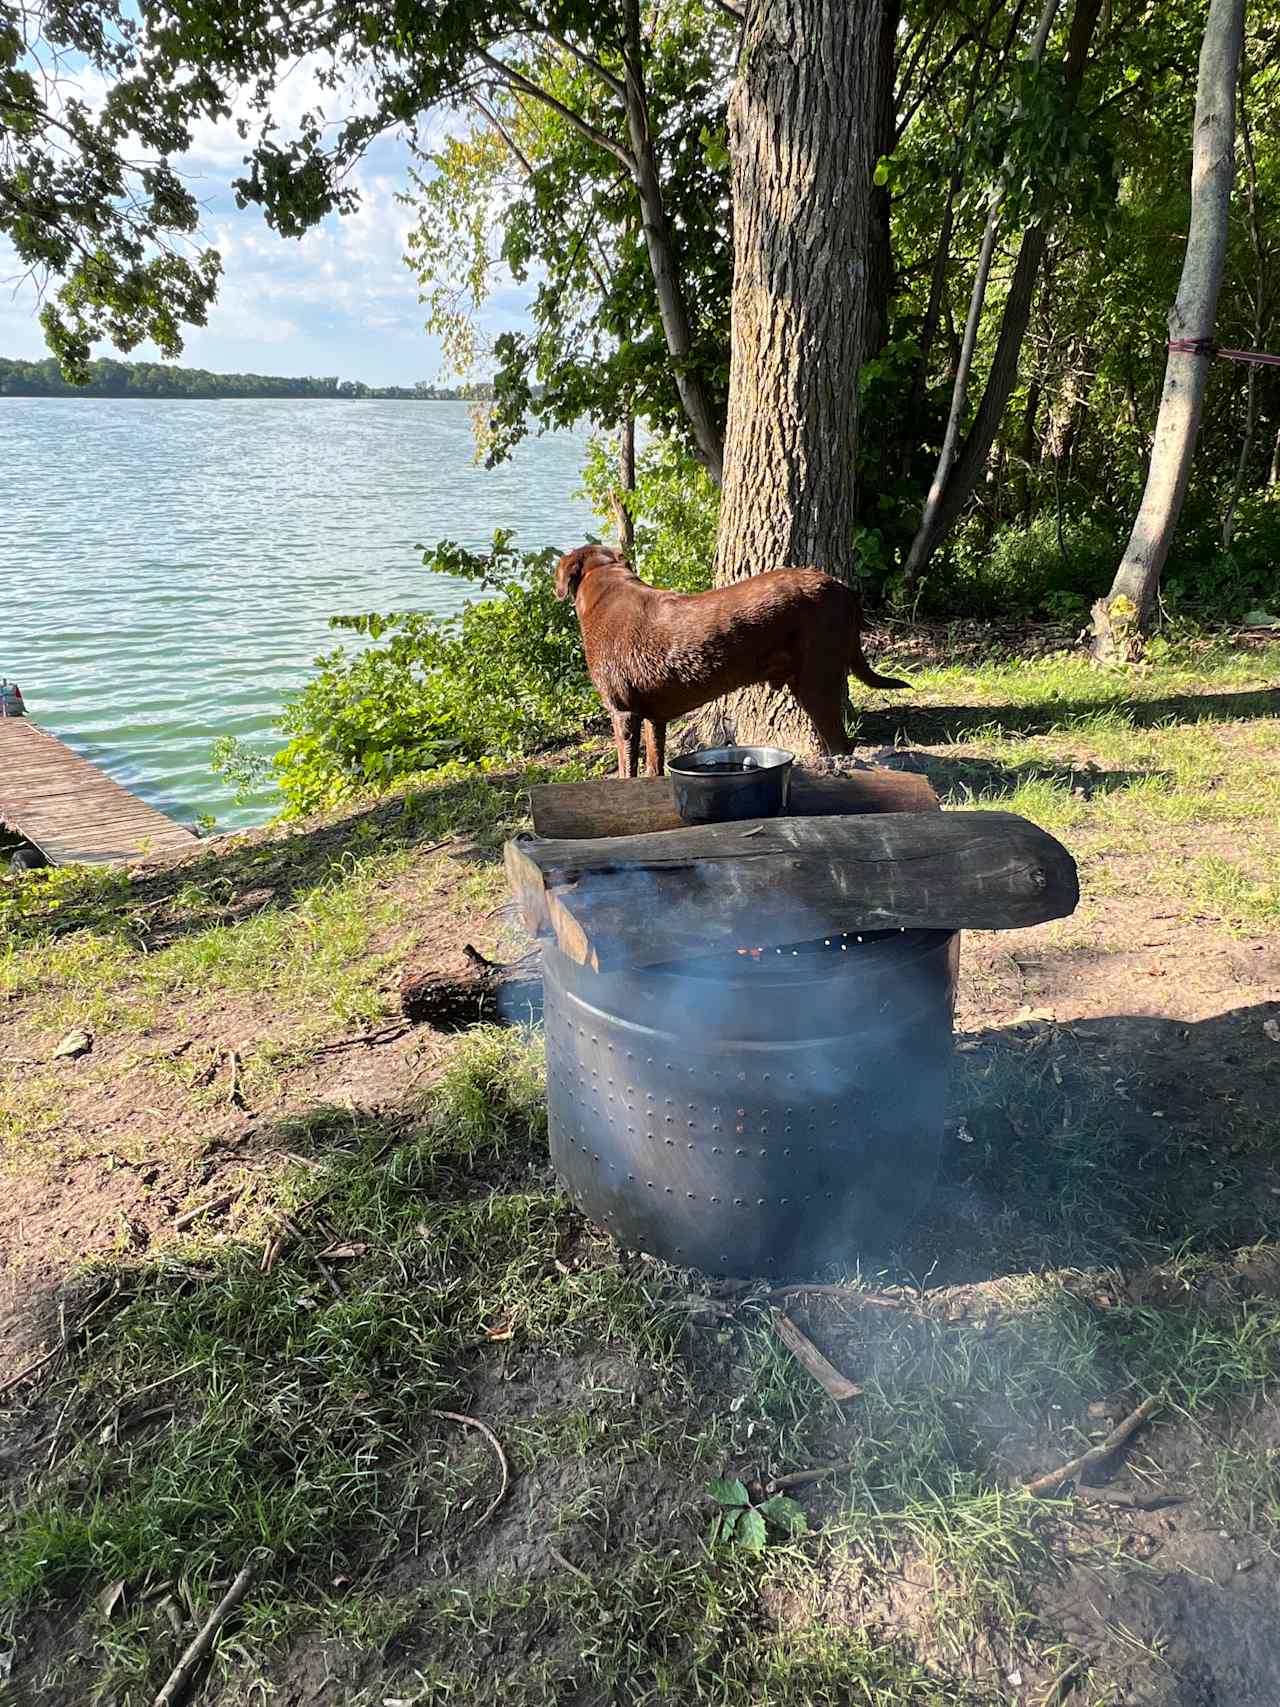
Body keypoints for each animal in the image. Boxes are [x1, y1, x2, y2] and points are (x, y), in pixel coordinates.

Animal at [556, 542, 907, 778]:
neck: (606, 582)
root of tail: (844, 590)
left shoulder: (623, 712)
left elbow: (625, 766)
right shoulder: (654, 717)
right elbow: (653, 763)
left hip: (816, 680)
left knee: (841, 745)